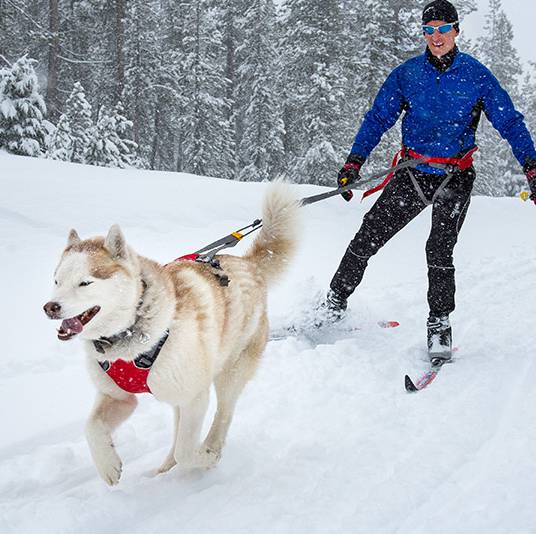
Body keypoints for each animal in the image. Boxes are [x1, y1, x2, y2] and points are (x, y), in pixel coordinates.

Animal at [44, 184, 300, 486]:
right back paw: (163, 469)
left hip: (229, 373)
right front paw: (108, 466)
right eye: (57, 280)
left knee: (223, 414)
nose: (50, 307)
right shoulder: (119, 397)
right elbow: (91, 427)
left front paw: (205, 458)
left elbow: (186, 451)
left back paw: (211, 448)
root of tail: (249, 264)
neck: (132, 333)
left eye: (85, 283)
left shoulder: (195, 396)